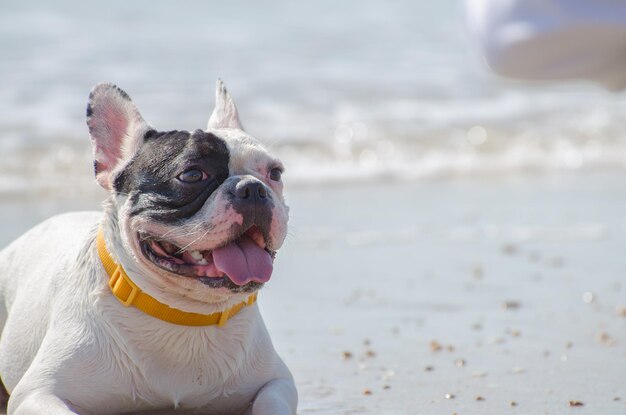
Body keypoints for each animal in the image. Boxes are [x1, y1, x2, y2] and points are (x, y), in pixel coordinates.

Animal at [0, 81, 298, 415]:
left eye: (275, 173)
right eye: (192, 175)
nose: (252, 188)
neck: (182, 312)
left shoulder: (277, 382)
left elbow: (272, 401)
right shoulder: (38, 392)